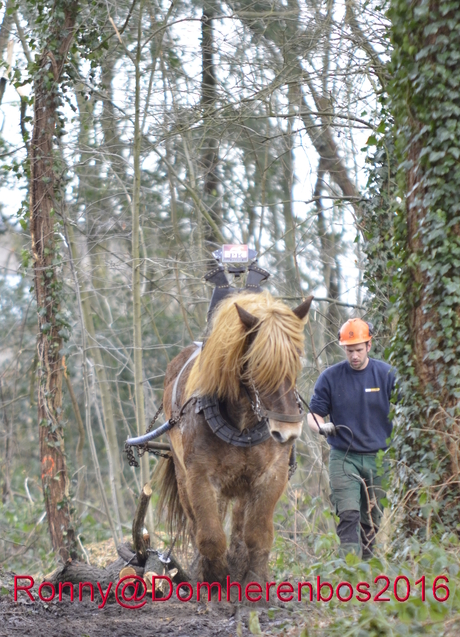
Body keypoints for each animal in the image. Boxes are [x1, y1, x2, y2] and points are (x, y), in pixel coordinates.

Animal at [157, 290, 312, 588]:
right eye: (257, 363)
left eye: (297, 358)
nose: (288, 433)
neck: (243, 425)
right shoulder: (200, 477)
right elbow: (210, 536)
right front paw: (215, 580)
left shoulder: (272, 475)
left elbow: (258, 534)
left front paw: (255, 579)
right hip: (184, 478)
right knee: (198, 525)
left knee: (240, 524)